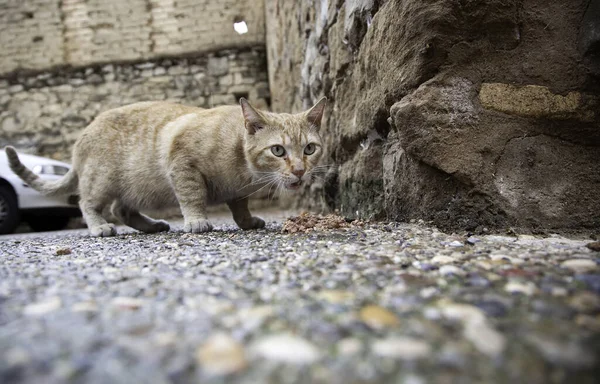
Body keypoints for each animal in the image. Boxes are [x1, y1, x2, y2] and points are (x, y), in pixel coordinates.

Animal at [4, 97, 326, 236]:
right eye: (278, 150)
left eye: (309, 149)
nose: (299, 170)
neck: (241, 167)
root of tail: (82, 135)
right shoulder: (183, 163)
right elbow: (192, 197)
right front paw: (196, 220)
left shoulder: (237, 191)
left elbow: (239, 206)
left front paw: (246, 221)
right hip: (101, 180)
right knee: (89, 203)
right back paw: (99, 226)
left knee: (121, 209)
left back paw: (151, 225)